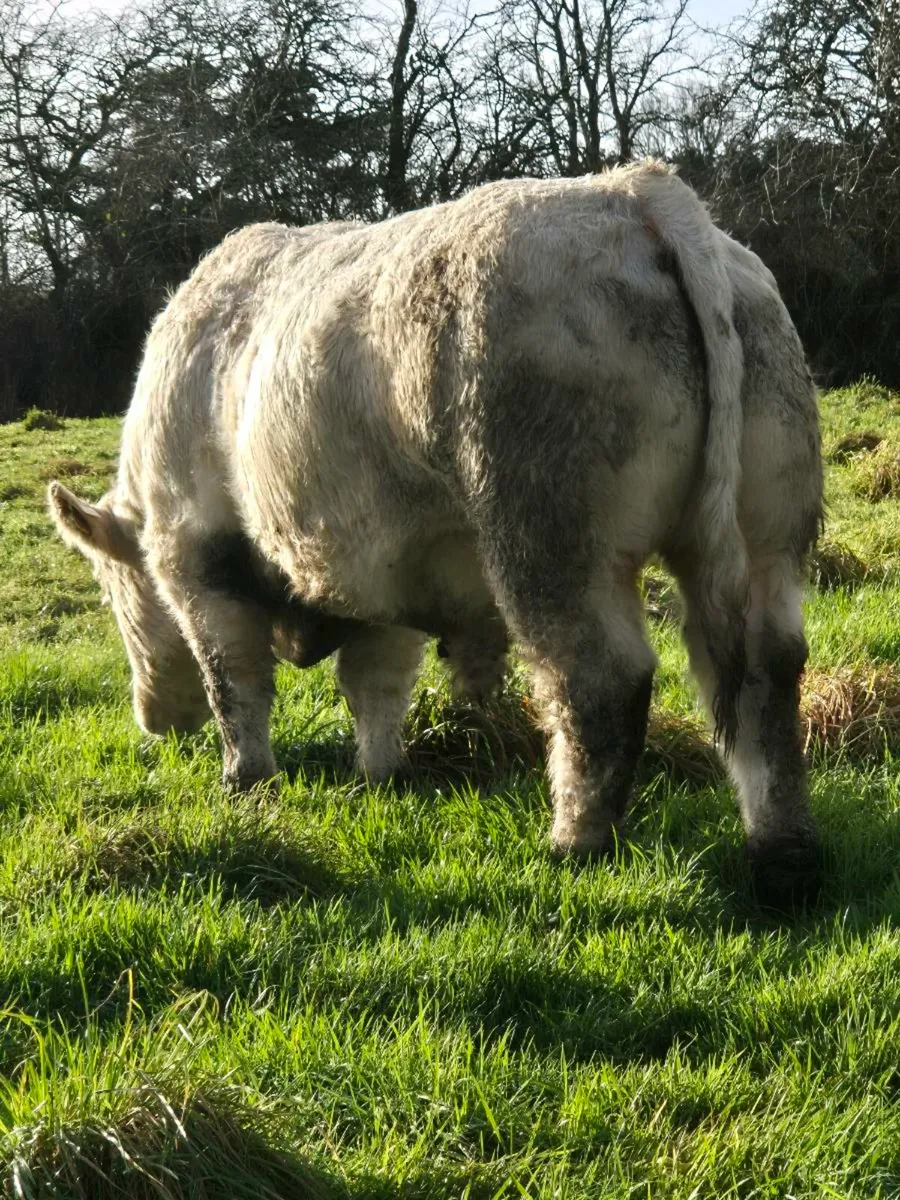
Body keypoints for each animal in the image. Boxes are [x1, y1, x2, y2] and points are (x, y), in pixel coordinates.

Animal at [48, 161, 823, 905]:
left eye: (112, 590)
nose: (152, 720)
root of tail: (640, 193)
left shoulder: (199, 559)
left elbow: (233, 682)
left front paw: (244, 783)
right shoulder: (376, 572)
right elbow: (376, 685)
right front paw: (381, 776)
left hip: (549, 534)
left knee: (598, 680)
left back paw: (573, 845)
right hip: (769, 526)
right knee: (765, 672)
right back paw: (781, 858)